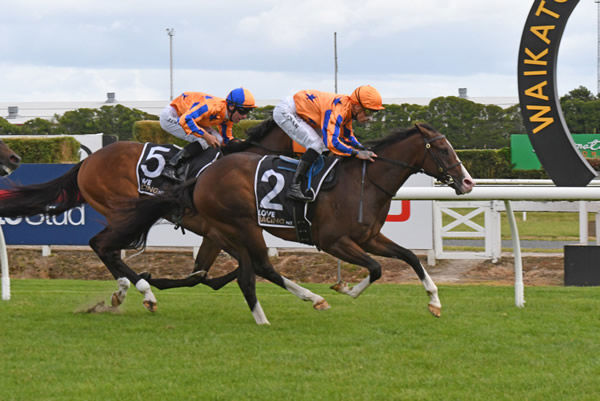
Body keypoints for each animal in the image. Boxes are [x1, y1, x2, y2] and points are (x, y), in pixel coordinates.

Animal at [0, 119, 294, 310]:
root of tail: (89, 160)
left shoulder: (215, 234)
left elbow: (204, 273)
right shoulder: (218, 230)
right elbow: (230, 268)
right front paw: (155, 280)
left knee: (107, 249)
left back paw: (123, 289)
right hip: (121, 210)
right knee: (103, 246)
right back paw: (144, 291)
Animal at [99, 123, 474, 324]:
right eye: (442, 148)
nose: (468, 182)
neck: (361, 182)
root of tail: (202, 177)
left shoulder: (368, 237)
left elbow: (408, 257)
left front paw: (434, 302)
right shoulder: (334, 241)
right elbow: (376, 268)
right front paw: (346, 289)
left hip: (228, 230)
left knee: (240, 271)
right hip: (239, 226)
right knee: (258, 267)